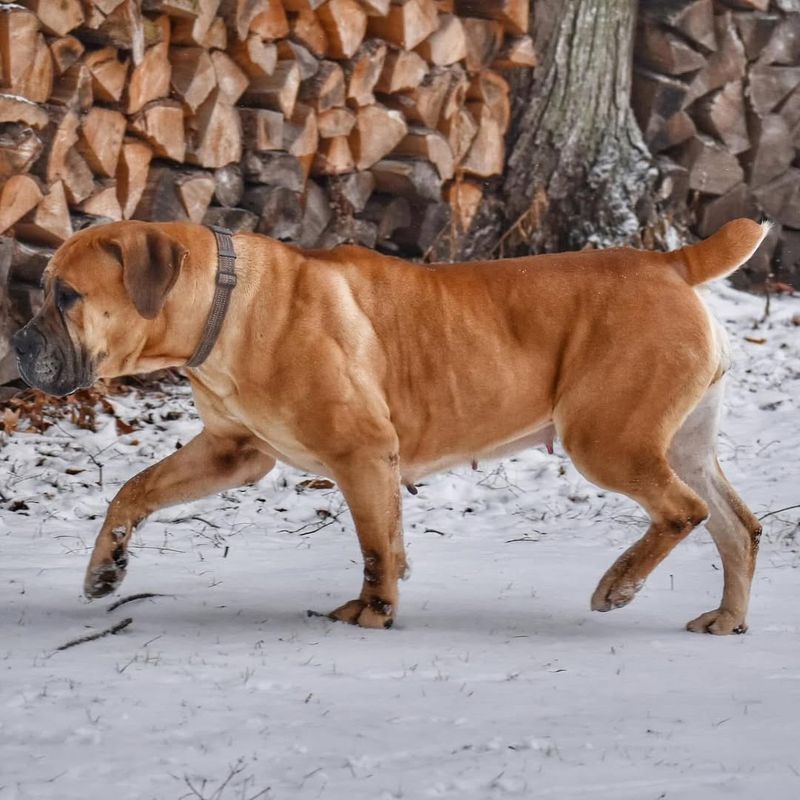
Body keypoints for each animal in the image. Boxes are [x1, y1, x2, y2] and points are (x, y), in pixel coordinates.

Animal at [10, 217, 768, 632]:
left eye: (67, 295)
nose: (16, 343)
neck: (225, 306)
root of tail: (671, 262)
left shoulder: (362, 453)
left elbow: (375, 544)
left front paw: (374, 609)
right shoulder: (231, 452)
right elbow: (132, 490)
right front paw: (104, 570)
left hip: (606, 438)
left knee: (686, 510)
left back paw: (619, 585)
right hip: (680, 442)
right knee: (737, 524)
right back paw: (727, 619)